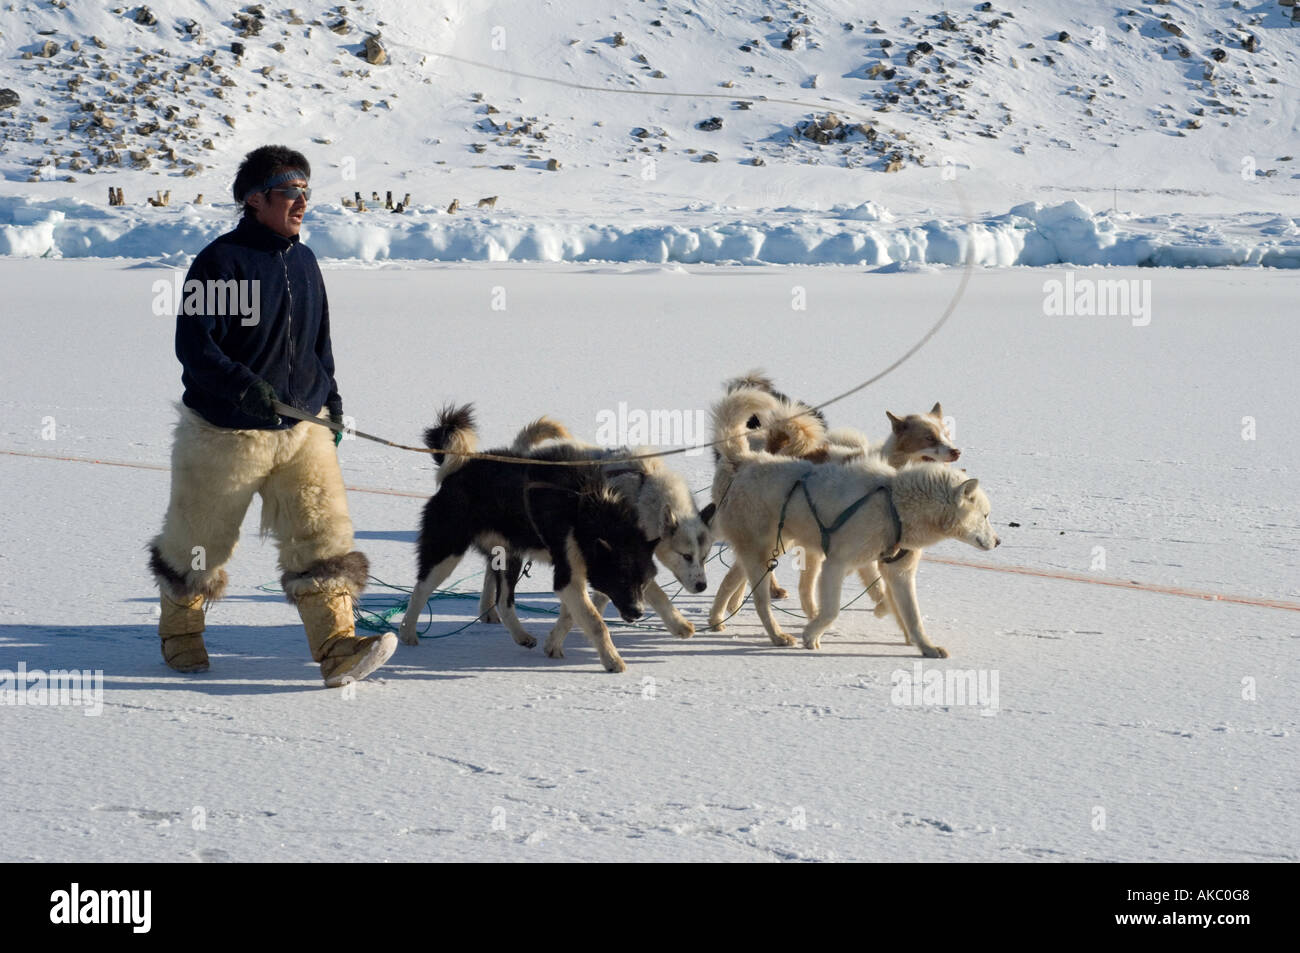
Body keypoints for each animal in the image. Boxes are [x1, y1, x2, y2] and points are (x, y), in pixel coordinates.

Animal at [395, 405, 660, 670]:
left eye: (644, 582)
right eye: (622, 580)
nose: (638, 612)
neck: (586, 507)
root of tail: (458, 469)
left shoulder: (573, 575)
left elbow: (571, 616)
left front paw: (553, 644)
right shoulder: (567, 574)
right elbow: (595, 621)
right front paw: (613, 661)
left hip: (508, 556)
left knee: (503, 602)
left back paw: (522, 636)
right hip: (446, 551)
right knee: (421, 588)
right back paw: (407, 633)